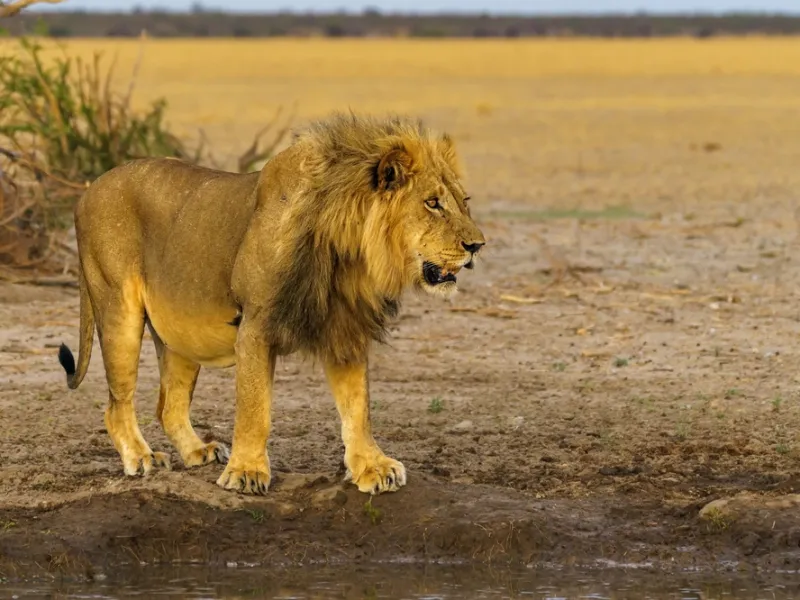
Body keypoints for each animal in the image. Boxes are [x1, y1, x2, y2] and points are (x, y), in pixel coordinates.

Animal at [57, 112, 486, 496]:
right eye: (432, 203)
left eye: (464, 201)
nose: (477, 246)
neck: (351, 256)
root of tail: (87, 189)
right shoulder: (255, 325)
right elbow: (255, 406)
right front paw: (246, 473)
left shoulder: (344, 330)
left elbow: (358, 407)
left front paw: (372, 467)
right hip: (119, 310)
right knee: (116, 404)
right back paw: (141, 457)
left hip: (180, 330)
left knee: (169, 405)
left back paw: (198, 451)